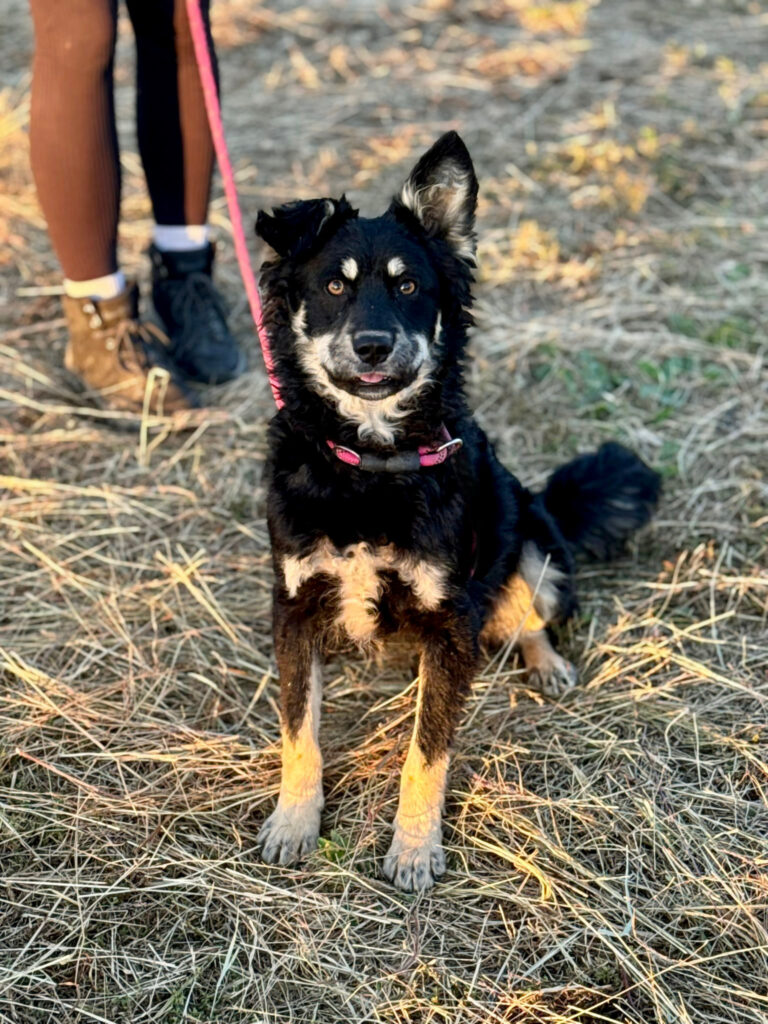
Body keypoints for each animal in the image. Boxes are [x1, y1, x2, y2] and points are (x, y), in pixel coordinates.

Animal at [254, 132, 660, 891]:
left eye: (409, 286)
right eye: (333, 287)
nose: (373, 345)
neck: (372, 463)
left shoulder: (451, 622)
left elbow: (426, 751)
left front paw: (414, 849)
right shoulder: (293, 607)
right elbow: (300, 732)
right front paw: (295, 822)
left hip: (531, 535)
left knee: (529, 612)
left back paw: (547, 663)